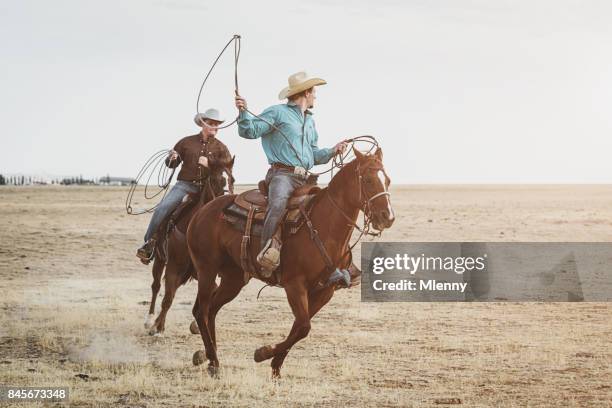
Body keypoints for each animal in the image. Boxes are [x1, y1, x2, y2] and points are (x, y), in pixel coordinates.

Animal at [145, 159, 235, 334]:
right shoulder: (173, 267)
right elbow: (167, 299)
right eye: (215, 180)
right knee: (156, 286)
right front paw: (156, 327)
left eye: (233, 180)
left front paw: (195, 324)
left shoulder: (203, 271)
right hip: (160, 259)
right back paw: (150, 319)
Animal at [188, 147, 396, 380]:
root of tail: (202, 212)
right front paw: (263, 353)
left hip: (233, 279)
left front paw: (275, 367)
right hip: (206, 270)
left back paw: (210, 358)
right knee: (202, 311)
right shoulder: (294, 285)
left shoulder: (325, 291)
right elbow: (304, 326)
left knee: (212, 310)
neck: (325, 228)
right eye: (368, 180)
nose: (388, 217)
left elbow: (299, 327)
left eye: (387, 180)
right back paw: (213, 361)